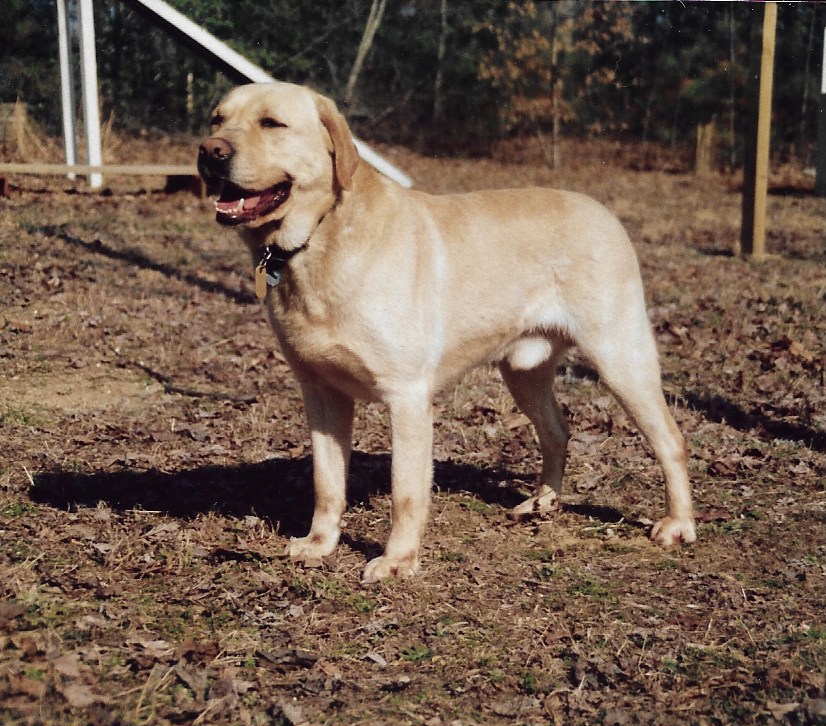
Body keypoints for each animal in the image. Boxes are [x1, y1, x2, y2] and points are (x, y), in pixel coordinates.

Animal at [196, 82, 692, 584]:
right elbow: (327, 481)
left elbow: (405, 491)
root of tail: (603, 211)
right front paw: (319, 544)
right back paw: (541, 502)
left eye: (272, 123)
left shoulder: (407, 396)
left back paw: (678, 525)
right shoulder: (320, 393)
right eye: (217, 119)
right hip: (524, 373)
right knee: (557, 431)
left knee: (671, 440)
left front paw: (398, 560)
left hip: (620, 360)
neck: (320, 236)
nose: (209, 151)